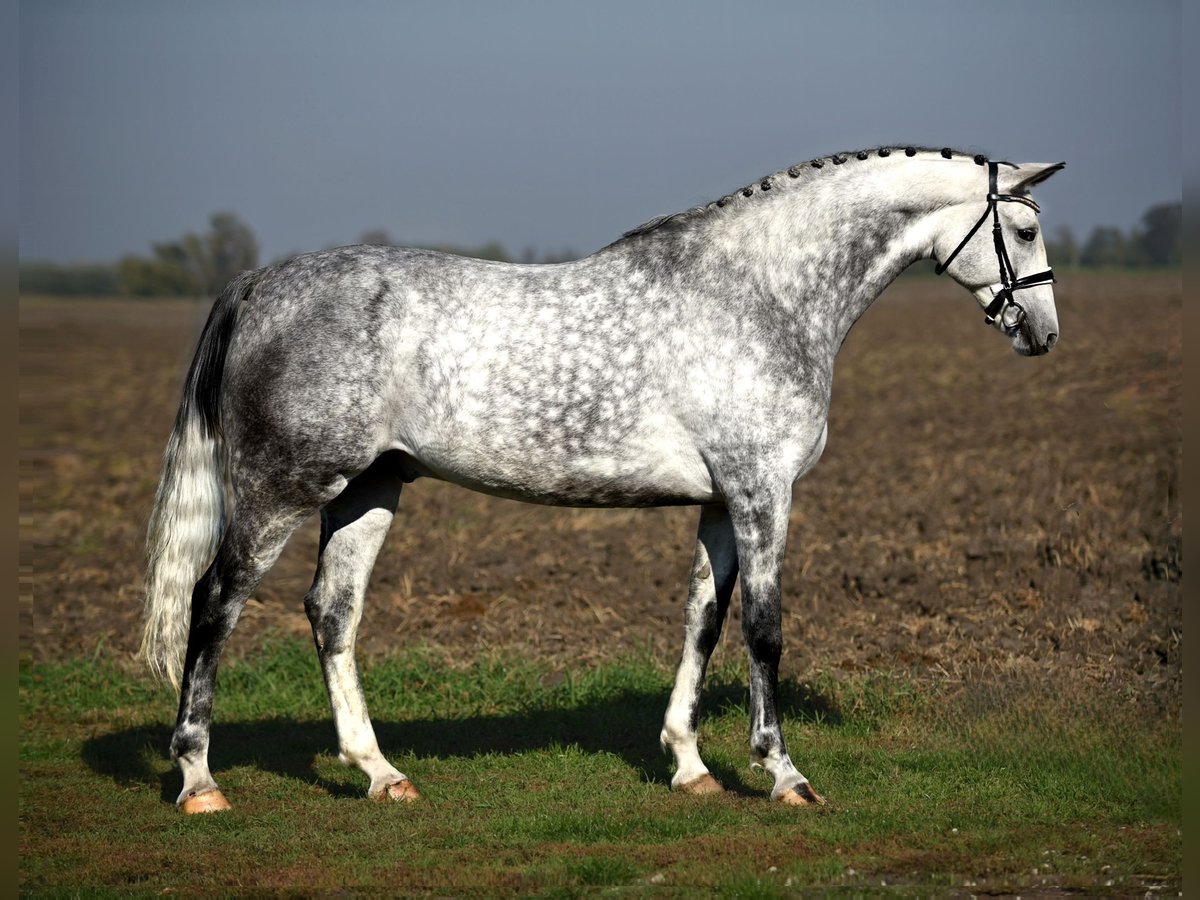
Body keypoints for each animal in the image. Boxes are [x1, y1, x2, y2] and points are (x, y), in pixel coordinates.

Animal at [140, 146, 1060, 811]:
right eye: (1022, 230)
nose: (1043, 333)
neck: (761, 292)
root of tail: (258, 284)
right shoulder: (762, 492)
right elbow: (764, 630)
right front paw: (784, 774)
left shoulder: (720, 504)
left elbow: (702, 622)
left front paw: (690, 765)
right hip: (281, 490)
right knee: (213, 604)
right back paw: (199, 781)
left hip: (369, 489)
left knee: (332, 612)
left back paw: (381, 773)